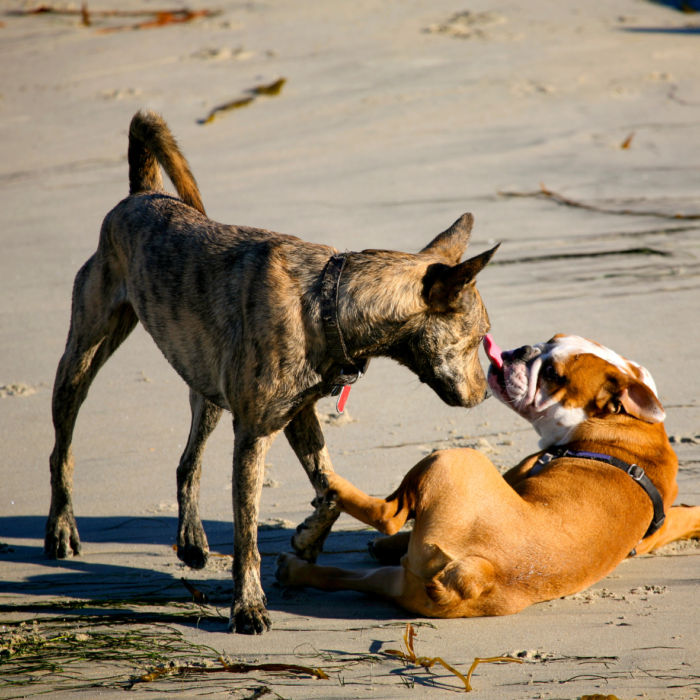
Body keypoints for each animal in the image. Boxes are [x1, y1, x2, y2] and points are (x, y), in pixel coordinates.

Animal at [45, 109, 498, 636]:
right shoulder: (255, 432)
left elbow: (330, 488)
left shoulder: (298, 414)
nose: (487, 395)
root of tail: (140, 195)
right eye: (479, 337)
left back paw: (192, 541)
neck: (330, 301)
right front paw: (248, 606)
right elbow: (248, 535)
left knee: (187, 462)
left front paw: (305, 541)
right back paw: (61, 529)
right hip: (81, 357)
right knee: (62, 449)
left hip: (206, 388)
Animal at [274, 336, 700, 616]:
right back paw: (297, 572)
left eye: (552, 373)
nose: (525, 350)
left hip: (453, 457)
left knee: (388, 515)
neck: (625, 429)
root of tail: (483, 571)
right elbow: (685, 516)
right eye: (550, 341)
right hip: (398, 584)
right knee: (345, 575)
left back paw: (332, 485)